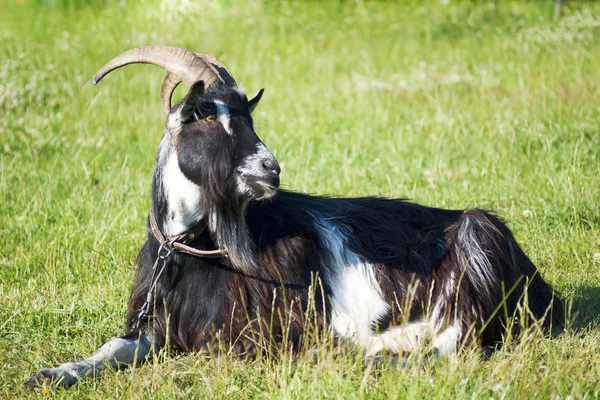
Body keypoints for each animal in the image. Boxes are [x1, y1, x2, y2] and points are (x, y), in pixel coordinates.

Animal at [27, 46, 564, 388]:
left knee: (456, 340)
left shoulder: (259, 330)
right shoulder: (156, 322)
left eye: (248, 116)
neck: (193, 248)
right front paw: (52, 373)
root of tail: (540, 285)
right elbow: (111, 348)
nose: (271, 167)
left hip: (476, 237)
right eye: (206, 114)